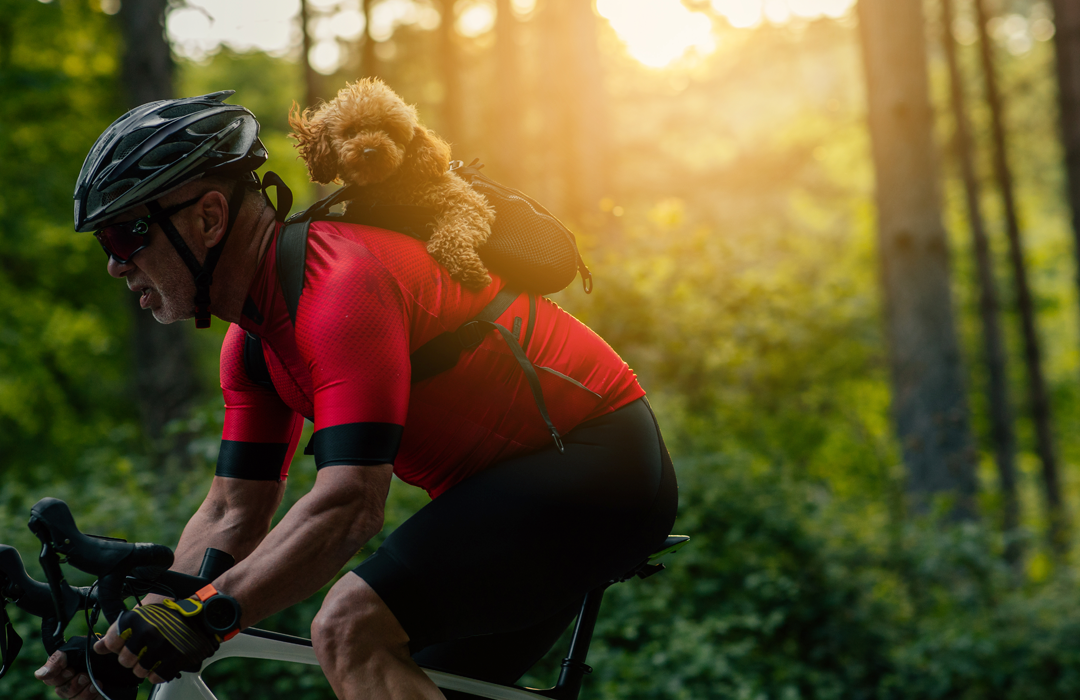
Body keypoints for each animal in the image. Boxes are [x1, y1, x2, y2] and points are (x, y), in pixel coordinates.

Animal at [287, 79, 490, 289]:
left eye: (389, 130)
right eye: (350, 132)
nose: (370, 151)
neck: (387, 187)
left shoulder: (466, 202)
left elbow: (451, 234)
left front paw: (468, 268)